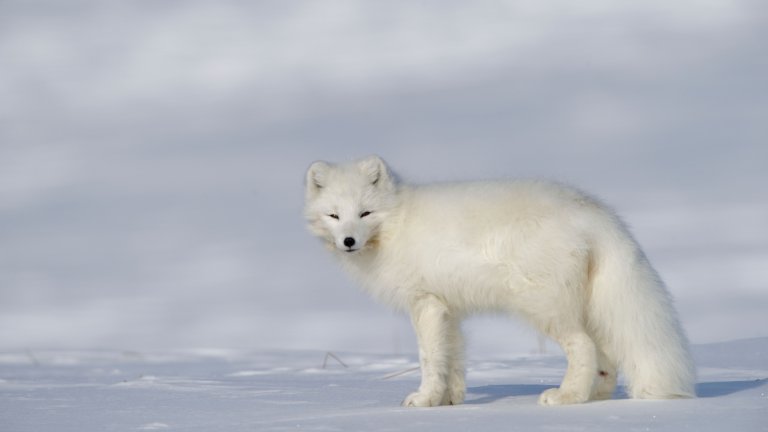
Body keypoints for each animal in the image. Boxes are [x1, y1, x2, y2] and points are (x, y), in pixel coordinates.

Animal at [304, 157, 696, 406]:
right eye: (334, 215)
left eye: (365, 213)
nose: (348, 241)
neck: (396, 224)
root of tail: (593, 211)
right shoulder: (448, 308)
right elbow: (454, 357)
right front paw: (450, 400)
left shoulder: (425, 303)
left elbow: (430, 358)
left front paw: (423, 399)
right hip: (585, 306)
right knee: (605, 354)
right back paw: (594, 396)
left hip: (544, 306)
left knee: (582, 346)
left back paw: (567, 397)